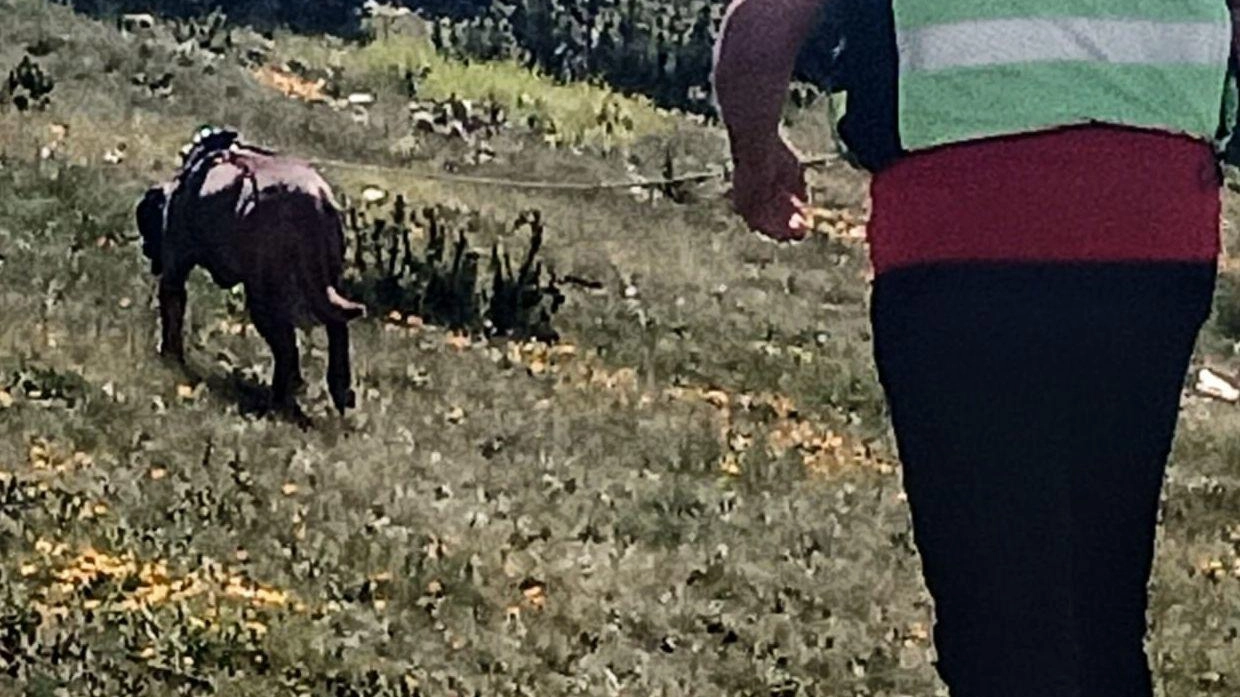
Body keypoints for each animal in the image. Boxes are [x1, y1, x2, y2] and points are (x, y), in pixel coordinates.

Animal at [140, 127, 364, 414]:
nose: (145, 249)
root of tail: (313, 199)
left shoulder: (174, 272)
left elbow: (172, 319)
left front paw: (169, 356)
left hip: (263, 298)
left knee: (287, 348)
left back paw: (279, 401)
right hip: (326, 286)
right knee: (336, 330)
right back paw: (337, 390)